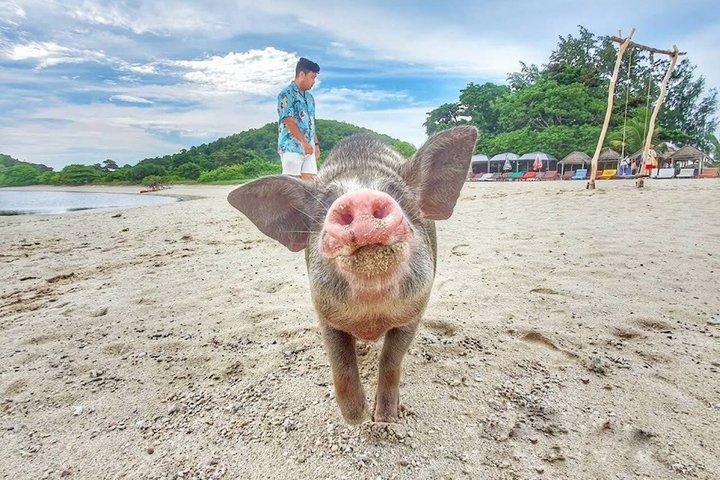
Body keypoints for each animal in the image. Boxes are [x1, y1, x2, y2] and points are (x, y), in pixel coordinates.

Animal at [227, 126, 477, 424]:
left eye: (397, 194)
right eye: (324, 205)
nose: (362, 198)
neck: (371, 314)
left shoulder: (414, 312)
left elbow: (391, 359)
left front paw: (385, 418)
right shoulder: (325, 314)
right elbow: (341, 364)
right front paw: (357, 418)